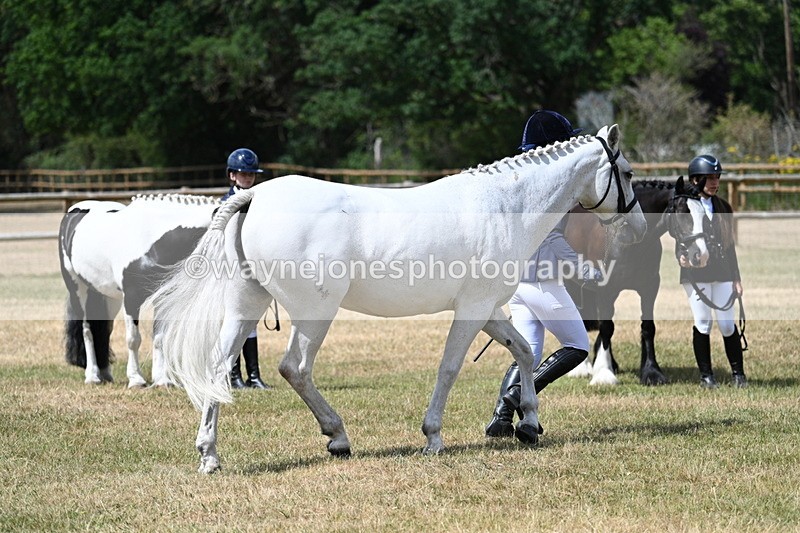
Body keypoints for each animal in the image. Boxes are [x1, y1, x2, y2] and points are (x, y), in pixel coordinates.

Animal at [58, 194, 220, 387]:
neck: (150, 240)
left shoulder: (163, 295)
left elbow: (159, 337)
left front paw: (162, 380)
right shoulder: (131, 298)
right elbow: (133, 339)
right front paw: (136, 379)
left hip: (108, 296)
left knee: (104, 330)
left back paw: (105, 374)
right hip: (78, 288)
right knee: (87, 330)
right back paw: (92, 376)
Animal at [150, 125, 647, 473]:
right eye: (626, 173)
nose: (638, 230)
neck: (504, 206)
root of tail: (254, 195)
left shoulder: (487, 310)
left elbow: (524, 352)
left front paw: (527, 423)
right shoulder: (471, 311)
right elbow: (449, 368)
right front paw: (433, 437)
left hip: (246, 307)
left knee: (218, 369)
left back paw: (210, 456)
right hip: (315, 313)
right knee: (295, 368)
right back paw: (338, 437)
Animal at [564, 180, 677, 386]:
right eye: (684, 209)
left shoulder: (649, 288)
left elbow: (647, 327)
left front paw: (651, 371)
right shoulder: (605, 290)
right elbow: (607, 328)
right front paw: (603, 374)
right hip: (574, 286)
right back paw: (581, 368)